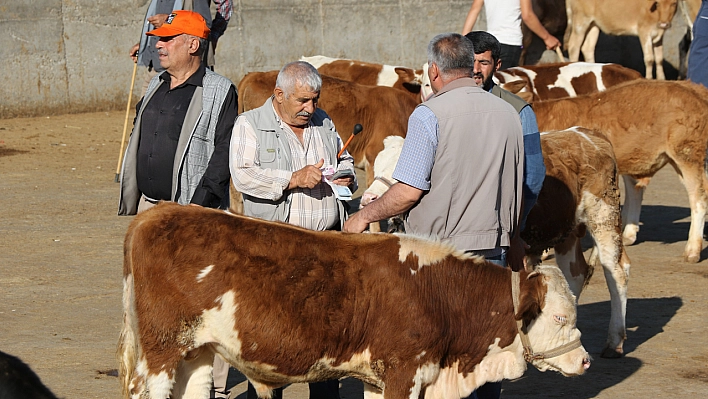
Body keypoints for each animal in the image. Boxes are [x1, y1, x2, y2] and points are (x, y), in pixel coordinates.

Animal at [119, 203, 588, 399]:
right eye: (560, 318)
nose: (584, 361)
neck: (437, 294)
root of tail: (156, 213)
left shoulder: (378, 379)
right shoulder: (404, 373)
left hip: (196, 351)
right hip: (162, 350)